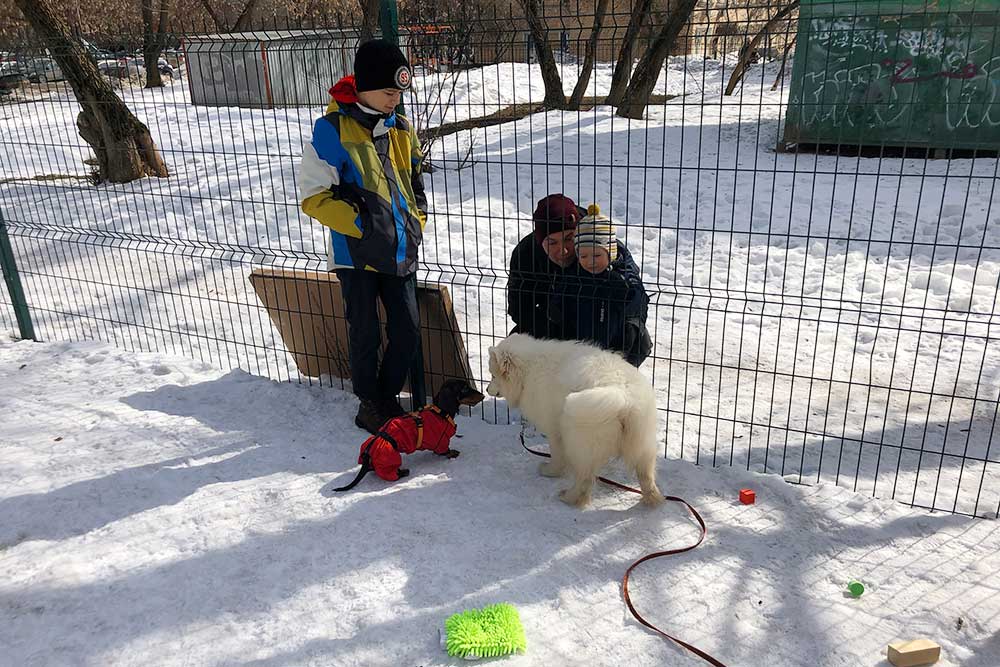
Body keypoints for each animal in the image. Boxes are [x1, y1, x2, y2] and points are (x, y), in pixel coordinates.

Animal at [486, 336, 664, 508]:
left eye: (493, 376)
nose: (487, 390)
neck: (528, 372)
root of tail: (625, 398)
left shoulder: (554, 431)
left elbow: (557, 456)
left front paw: (550, 471)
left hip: (580, 443)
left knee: (585, 479)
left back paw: (570, 497)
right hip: (644, 445)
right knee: (646, 477)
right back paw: (652, 500)